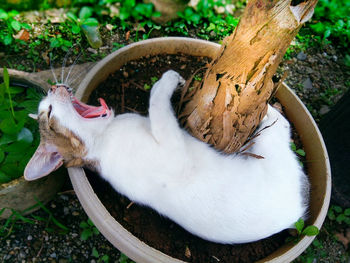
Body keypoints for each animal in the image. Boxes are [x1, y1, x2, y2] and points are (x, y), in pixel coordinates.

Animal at [24, 70, 308, 245]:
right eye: (49, 112)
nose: (53, 86)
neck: (103, 139)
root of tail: (296, 212)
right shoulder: (174, 154)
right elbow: (157, 103)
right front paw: (168, 81)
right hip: (274, 157)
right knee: (281, 134)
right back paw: (271, 114)